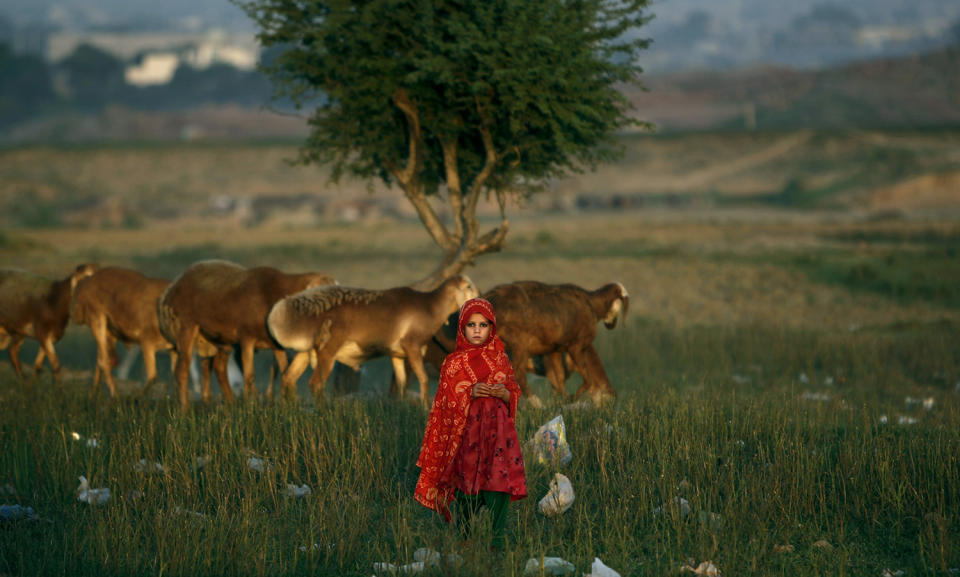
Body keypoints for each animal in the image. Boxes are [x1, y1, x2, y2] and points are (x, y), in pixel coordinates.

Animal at [69, 266, 231, 398]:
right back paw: (114, 395)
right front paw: (135, 398)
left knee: (101, 359)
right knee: (104, 360)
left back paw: (94, 394)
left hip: (109, 331)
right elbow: (153, 376)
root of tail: (86, 282)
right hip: (98, 320)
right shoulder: (146, 343)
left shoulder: (173, 349)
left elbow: (174, 376)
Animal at [159, 258, 336, 408]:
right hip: (186, 327)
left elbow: (285, 370)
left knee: (219, 367)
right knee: (182, 370)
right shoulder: (246, 339)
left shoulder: (275, 345)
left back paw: (230, 403)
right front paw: (253, 405)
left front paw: (289, 402)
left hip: (221, 340)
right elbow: (250, 375)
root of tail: (172, 288)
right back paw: (185, 409)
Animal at [264, 276, 478, 404]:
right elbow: (424, 379)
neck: (429, 306)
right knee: (315, 383)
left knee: (288, 378)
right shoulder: (413, 347)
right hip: (327, 352)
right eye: (468, 286)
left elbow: (401, 383)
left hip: (305, 353)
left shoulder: (397, 356)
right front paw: (425, 407)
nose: (479, 299)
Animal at [484, 282, 628, 402]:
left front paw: (562, 401)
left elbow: (558, 380)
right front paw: (571, 398)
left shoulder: (555, 350)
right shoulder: (576, 346)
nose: (611, 323)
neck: (592, 304)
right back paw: (537, 404)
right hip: (520, 344)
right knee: (518, 375)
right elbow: (586, 378)